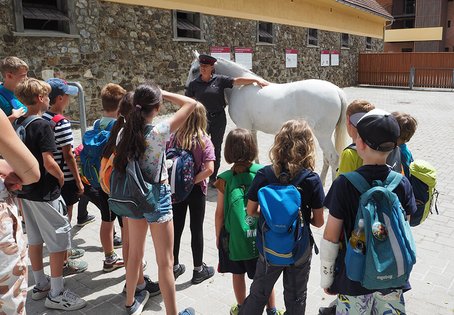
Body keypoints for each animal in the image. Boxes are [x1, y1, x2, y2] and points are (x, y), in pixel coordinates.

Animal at [186, 51, 350, 184]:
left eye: (195, 70)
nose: (187, 91)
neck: (239, 87)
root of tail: (336, 91)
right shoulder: (252, 129)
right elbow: (255, 150)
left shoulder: (244, 126)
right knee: (327, 158)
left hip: (322, 135)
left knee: (333, 157)